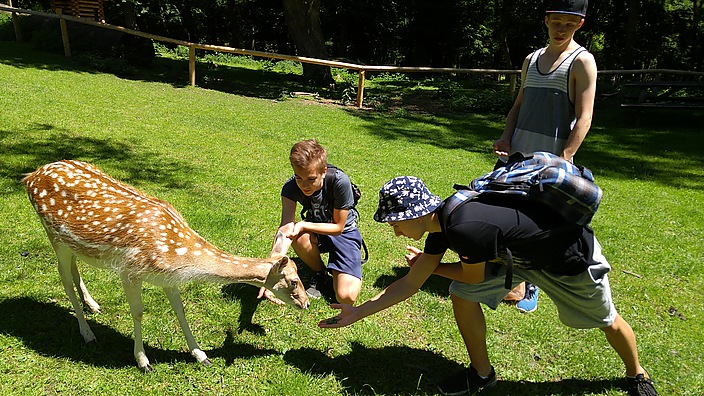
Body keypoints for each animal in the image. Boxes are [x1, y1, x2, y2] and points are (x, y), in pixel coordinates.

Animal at [22, 160, 308, 372]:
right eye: (294, 281)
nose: (306, 303)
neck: (179, 255)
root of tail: (30, 176)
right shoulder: (130, 270)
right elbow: (138, 312)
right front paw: (143, 361)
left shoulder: (168, 278)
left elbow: (180, 311)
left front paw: (201, 355)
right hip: (53, 235)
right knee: (64, 281)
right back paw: (88, 334)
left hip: (72, 244)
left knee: (74, 270)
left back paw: (93, 305)